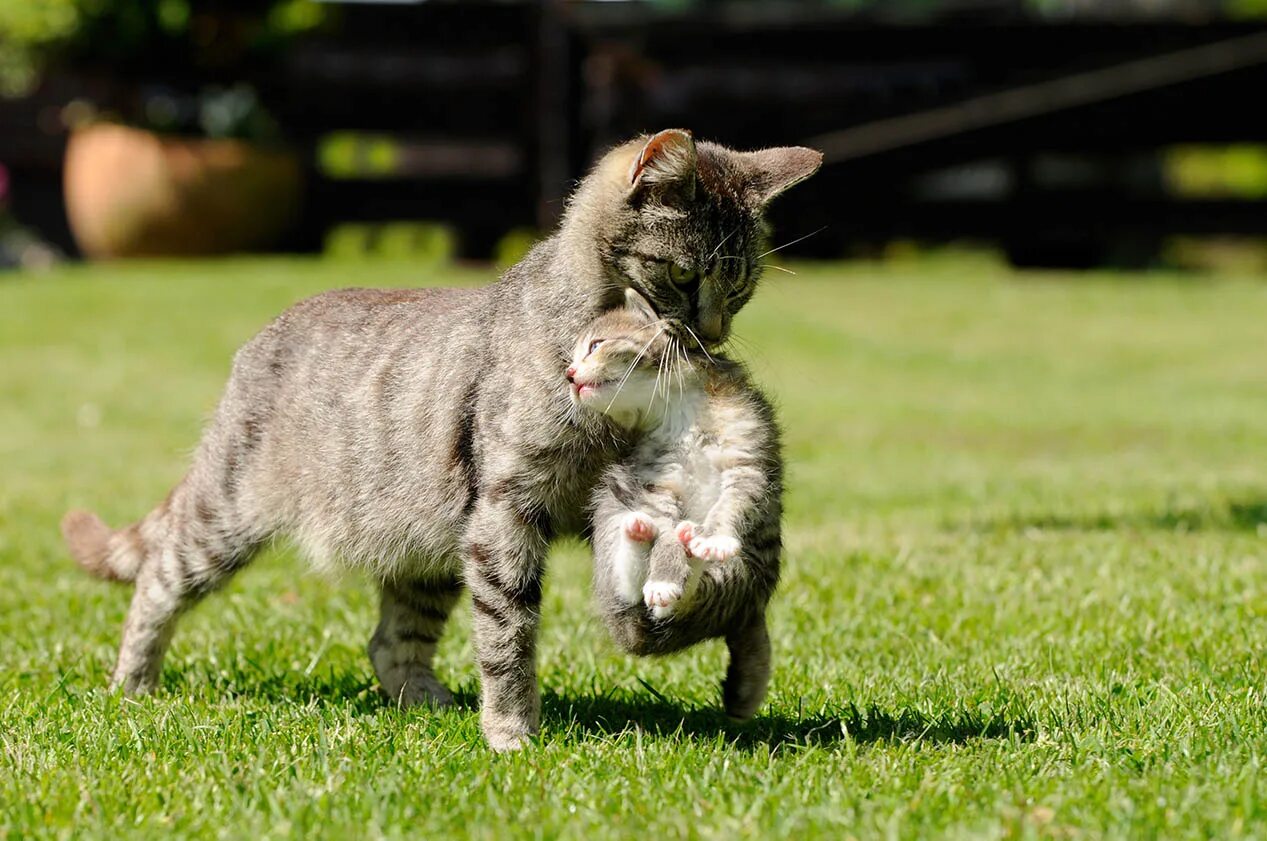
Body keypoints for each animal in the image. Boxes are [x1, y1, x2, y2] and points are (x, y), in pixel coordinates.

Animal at [64, 129, 821, 749]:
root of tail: (259, 341)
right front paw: (512, 732)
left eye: (742, 291)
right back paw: (132, 684)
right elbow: (508, 633)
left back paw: (429, 704)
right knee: (157, 579)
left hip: (427, 552)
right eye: (685, 275)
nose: (712, 336)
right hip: (225, 517)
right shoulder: (508, 509)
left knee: (388, 642)